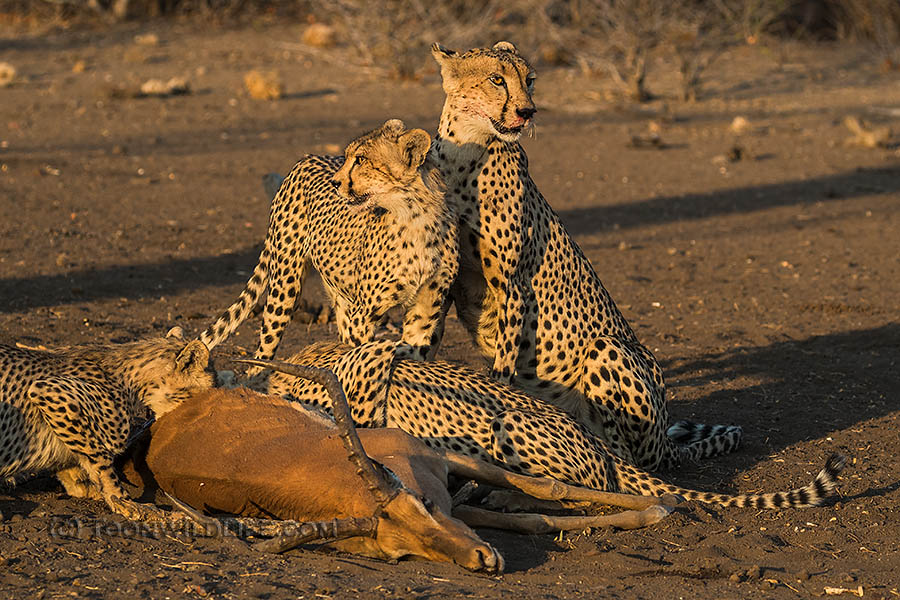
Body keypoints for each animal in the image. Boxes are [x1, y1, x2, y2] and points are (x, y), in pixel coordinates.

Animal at [198, 119, 458, 371]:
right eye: (348, 157)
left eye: (361, 160)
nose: (335, 183)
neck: (416, 218)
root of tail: (307, 157)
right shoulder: (363, 315)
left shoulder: (424, 312)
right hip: (285, 285)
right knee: (264, 349)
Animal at [427, 41, 742, 472]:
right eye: (496, 79)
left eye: (529, 80)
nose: (527, 111)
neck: (465, 154)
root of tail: (665, 441)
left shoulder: (513, 289)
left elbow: (502, 370)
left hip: (609, 349)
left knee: (626, 454)